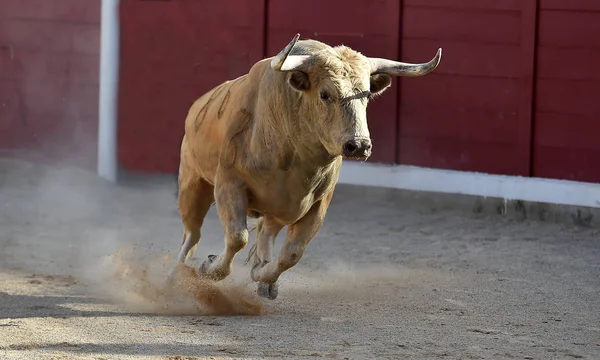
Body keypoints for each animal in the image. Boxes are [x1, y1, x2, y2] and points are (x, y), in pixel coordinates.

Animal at [170, 33, 440, 300]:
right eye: (324, 94)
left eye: (366, 94)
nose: (359, 145)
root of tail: (197, 106)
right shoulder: (229, 184)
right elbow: (238, 238)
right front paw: (209, 269)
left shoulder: (317, 203)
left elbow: (291, 254)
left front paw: (262, 274)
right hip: (192, 183)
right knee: (192, 235)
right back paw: (175, 276)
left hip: (277, 208)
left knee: (266, 233)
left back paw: (263, 280)